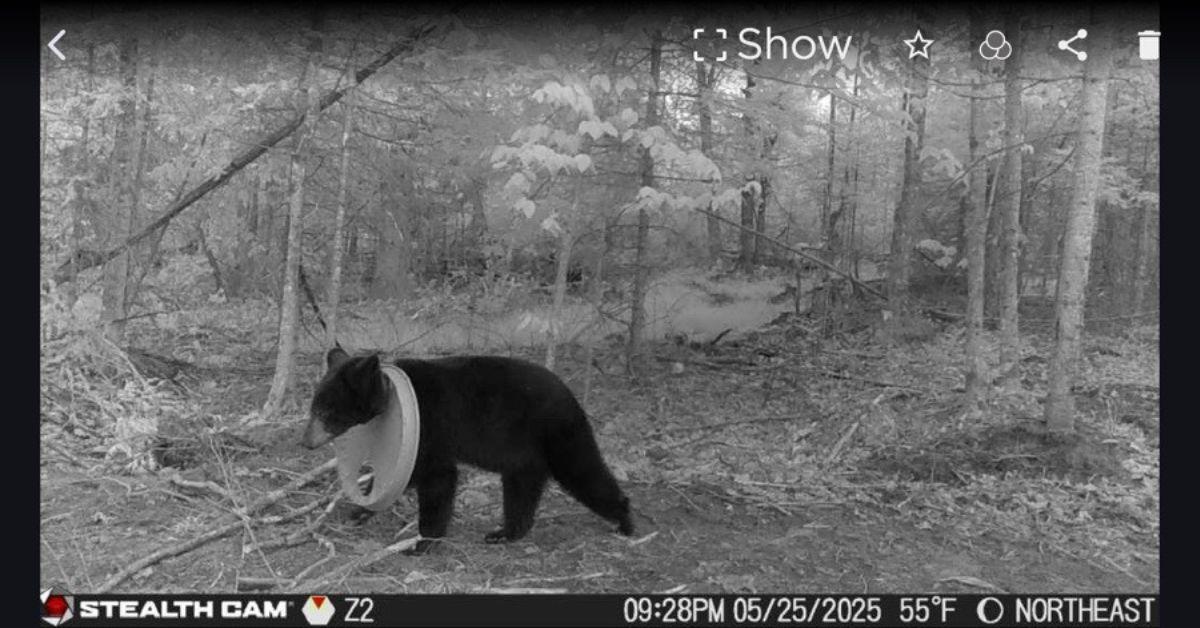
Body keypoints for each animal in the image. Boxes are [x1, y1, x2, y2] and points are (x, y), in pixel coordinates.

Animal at [302, 347, 634, 554]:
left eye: (326, 411)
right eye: (313, 407)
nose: (305, 441)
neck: (389, 394)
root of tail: (570, 395)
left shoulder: (430, 428)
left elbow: (438, 479)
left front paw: (422, 543)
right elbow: (402, 475)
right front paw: (360, 510)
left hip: (558, 434)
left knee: (584, 472)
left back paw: (625, 521)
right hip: (523, 454)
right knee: (521, 489)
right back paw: (505, 533)